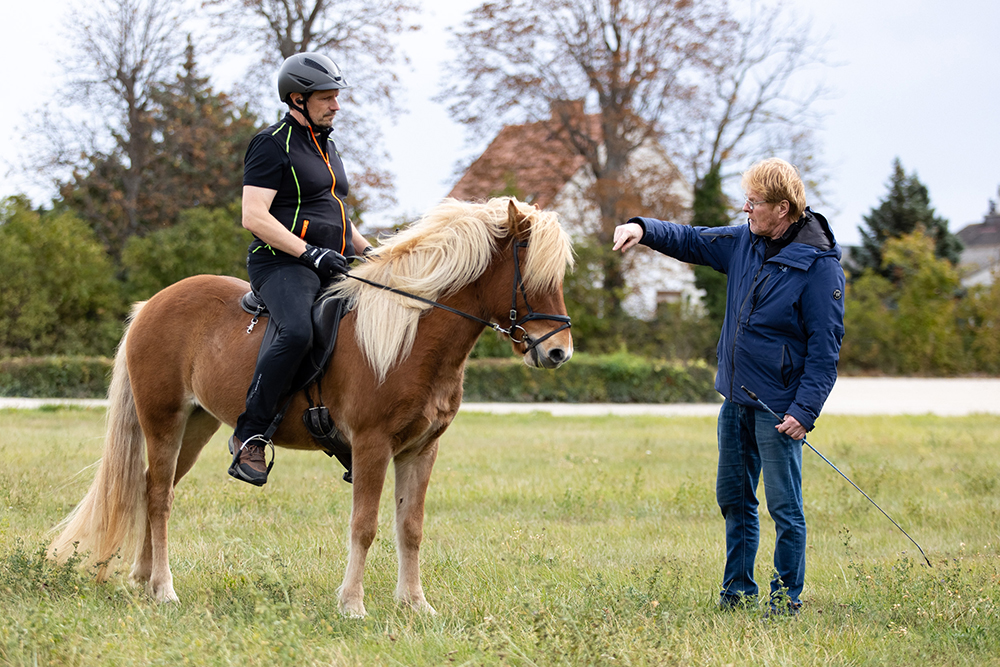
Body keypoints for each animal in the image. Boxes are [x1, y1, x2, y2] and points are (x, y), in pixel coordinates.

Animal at [47, 196, 576, 620]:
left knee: (149, 488)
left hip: (195, 427)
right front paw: (353, 605)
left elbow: (410, 527)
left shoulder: (420, 450)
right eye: (530, 277)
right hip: (163, 422)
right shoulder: (371, 445)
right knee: (159, 498)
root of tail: (151, 305)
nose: (558, 353)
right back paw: (164, 589)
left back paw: (142, 579)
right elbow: (365, 525)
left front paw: (415, 605)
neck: (410, 334)